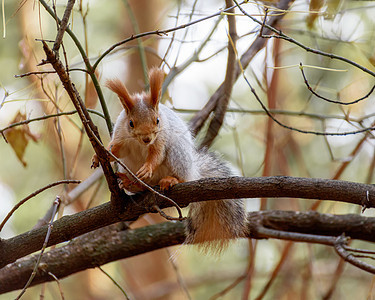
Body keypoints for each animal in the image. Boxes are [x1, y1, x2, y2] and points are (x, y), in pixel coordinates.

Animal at [92, 68, 247, 253]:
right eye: (131, 123)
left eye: (157, 120)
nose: (147, 138)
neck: (139, 143)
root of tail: (193, 172)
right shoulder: (121, 137)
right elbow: (116, 150)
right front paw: (100, 155)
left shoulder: (161, 139)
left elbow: (156, 154)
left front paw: (147, 168)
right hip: (127, 167)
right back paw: (130, 182)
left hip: (177, 153)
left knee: (180, 176)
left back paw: (170, 180)